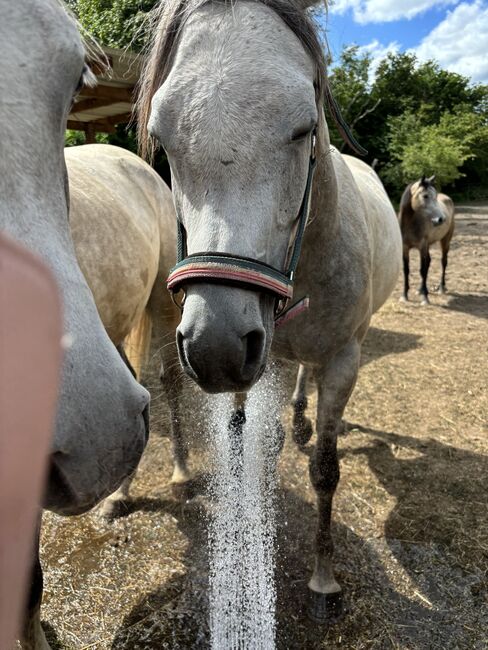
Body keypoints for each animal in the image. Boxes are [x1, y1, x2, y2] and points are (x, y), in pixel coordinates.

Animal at [137, 0, 400, 624]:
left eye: (305, 127)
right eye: (162, 138)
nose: (213, 346)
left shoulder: (344, 361)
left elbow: (326, 470)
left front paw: (324, 582)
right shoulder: (267, 357)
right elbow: (259, 441)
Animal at [398, 173, 456, 302]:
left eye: (435, 196)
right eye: (425, 196)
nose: (441, 219)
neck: (411, 224)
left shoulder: (422, 246)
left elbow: (422, 270)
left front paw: (425, 297)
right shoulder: (405, 248)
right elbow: (406, 270)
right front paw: (404, 295)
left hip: (445, 241)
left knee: (443, 261)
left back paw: (441, 288)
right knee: (429, 262)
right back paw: (420, 289)